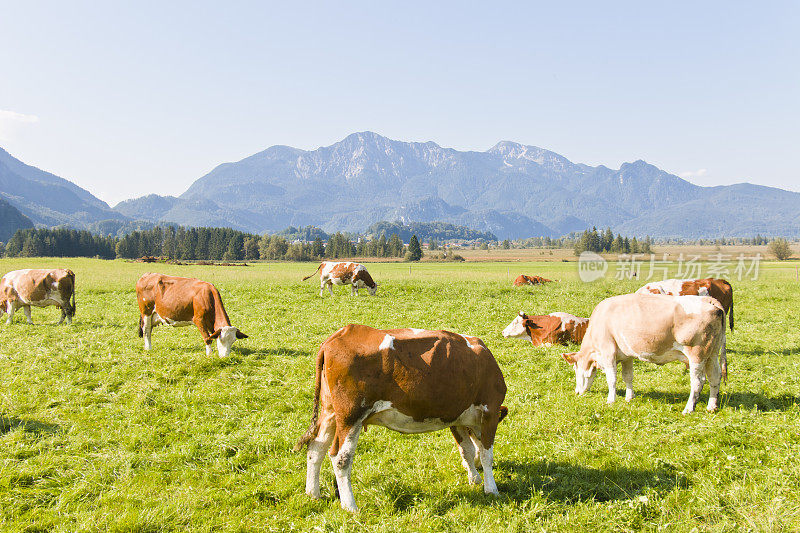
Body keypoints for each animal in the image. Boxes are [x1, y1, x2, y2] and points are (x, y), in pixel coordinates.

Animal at [294, 324, 506, 512]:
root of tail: (338, 335)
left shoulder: (457, 418)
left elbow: (467, 450)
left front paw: (474, 478)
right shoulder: (490, 410)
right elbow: (486, 454)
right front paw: (491, 488)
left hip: (330, 412)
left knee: (316, 448)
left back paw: (313, 493)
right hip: (351, 416)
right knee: (340, 458)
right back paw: (350, 506)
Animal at [560, 294, 728, 414]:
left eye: (575, 369)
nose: (577, 392)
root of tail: (709, 300)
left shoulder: (608, 353)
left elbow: (612, 379)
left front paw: (611, 400)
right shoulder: (626, 356)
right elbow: (627, 377)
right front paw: (629, 397)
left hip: (697, 355)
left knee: (698, 381)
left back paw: (688, 408)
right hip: (712, 355)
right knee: (715, 377)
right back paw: (711, 406)